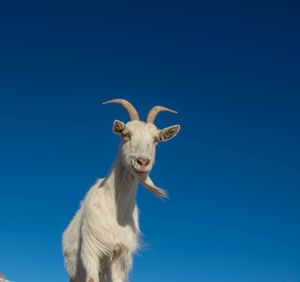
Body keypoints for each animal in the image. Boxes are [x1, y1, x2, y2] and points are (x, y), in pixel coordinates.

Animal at [62, 99, 180, 282]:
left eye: (155, 140)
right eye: (126, 134)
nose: (142, 162)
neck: (115, 208)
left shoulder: (121, 256)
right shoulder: (91, 250)